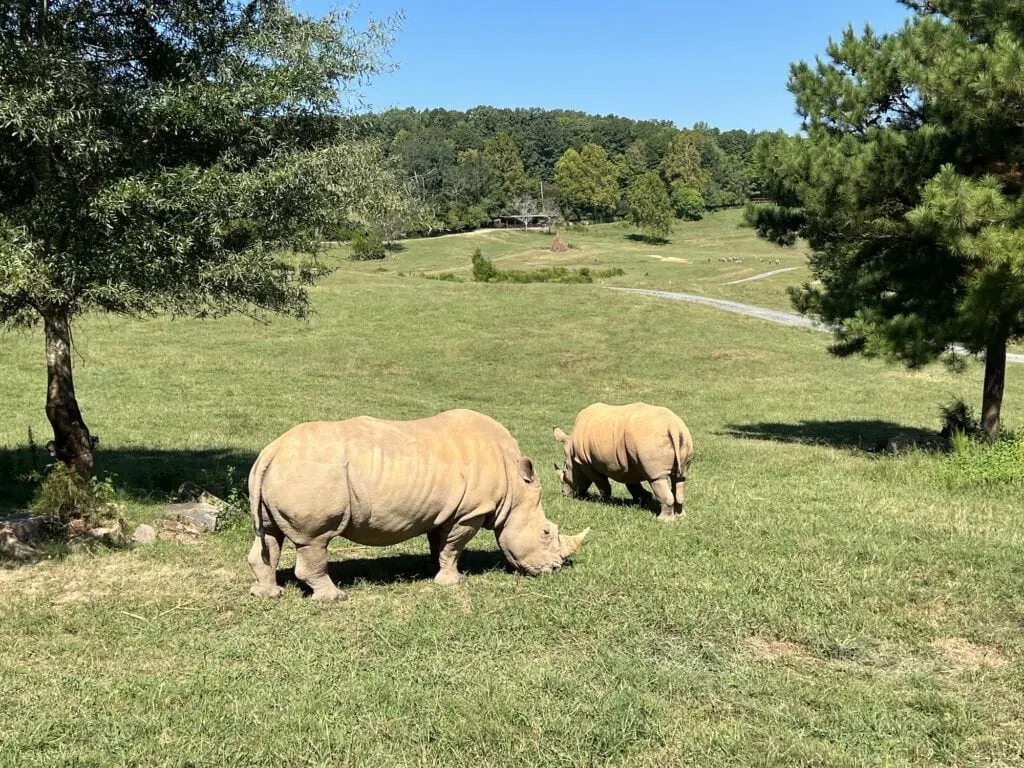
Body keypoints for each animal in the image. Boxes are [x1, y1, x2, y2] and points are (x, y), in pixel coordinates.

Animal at [242, 409, 589, 602]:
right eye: (546, 532)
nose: (553, 569)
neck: (515, 487)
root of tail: (271, 451)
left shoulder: (449, 509)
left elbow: (441, 543)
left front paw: (435, 569)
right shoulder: (470, 512)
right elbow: (454, 546)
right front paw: (453, 582)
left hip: (282, 474)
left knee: (269, 535)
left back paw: (268, 595)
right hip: (312, 475)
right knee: (314, 540)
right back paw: (334, 598)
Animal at [552, 403, 696, 524]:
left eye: (564, 475)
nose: (564, 494)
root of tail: (672, 426)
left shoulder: (584, 462)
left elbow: (601, 483)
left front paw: (603, 501)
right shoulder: (630, 463)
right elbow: (632, 483)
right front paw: (642, 500)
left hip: (649, 438)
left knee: (657, 479)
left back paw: (663, 520)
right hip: (683, 436)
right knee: (680, 478)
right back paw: (681, 517)